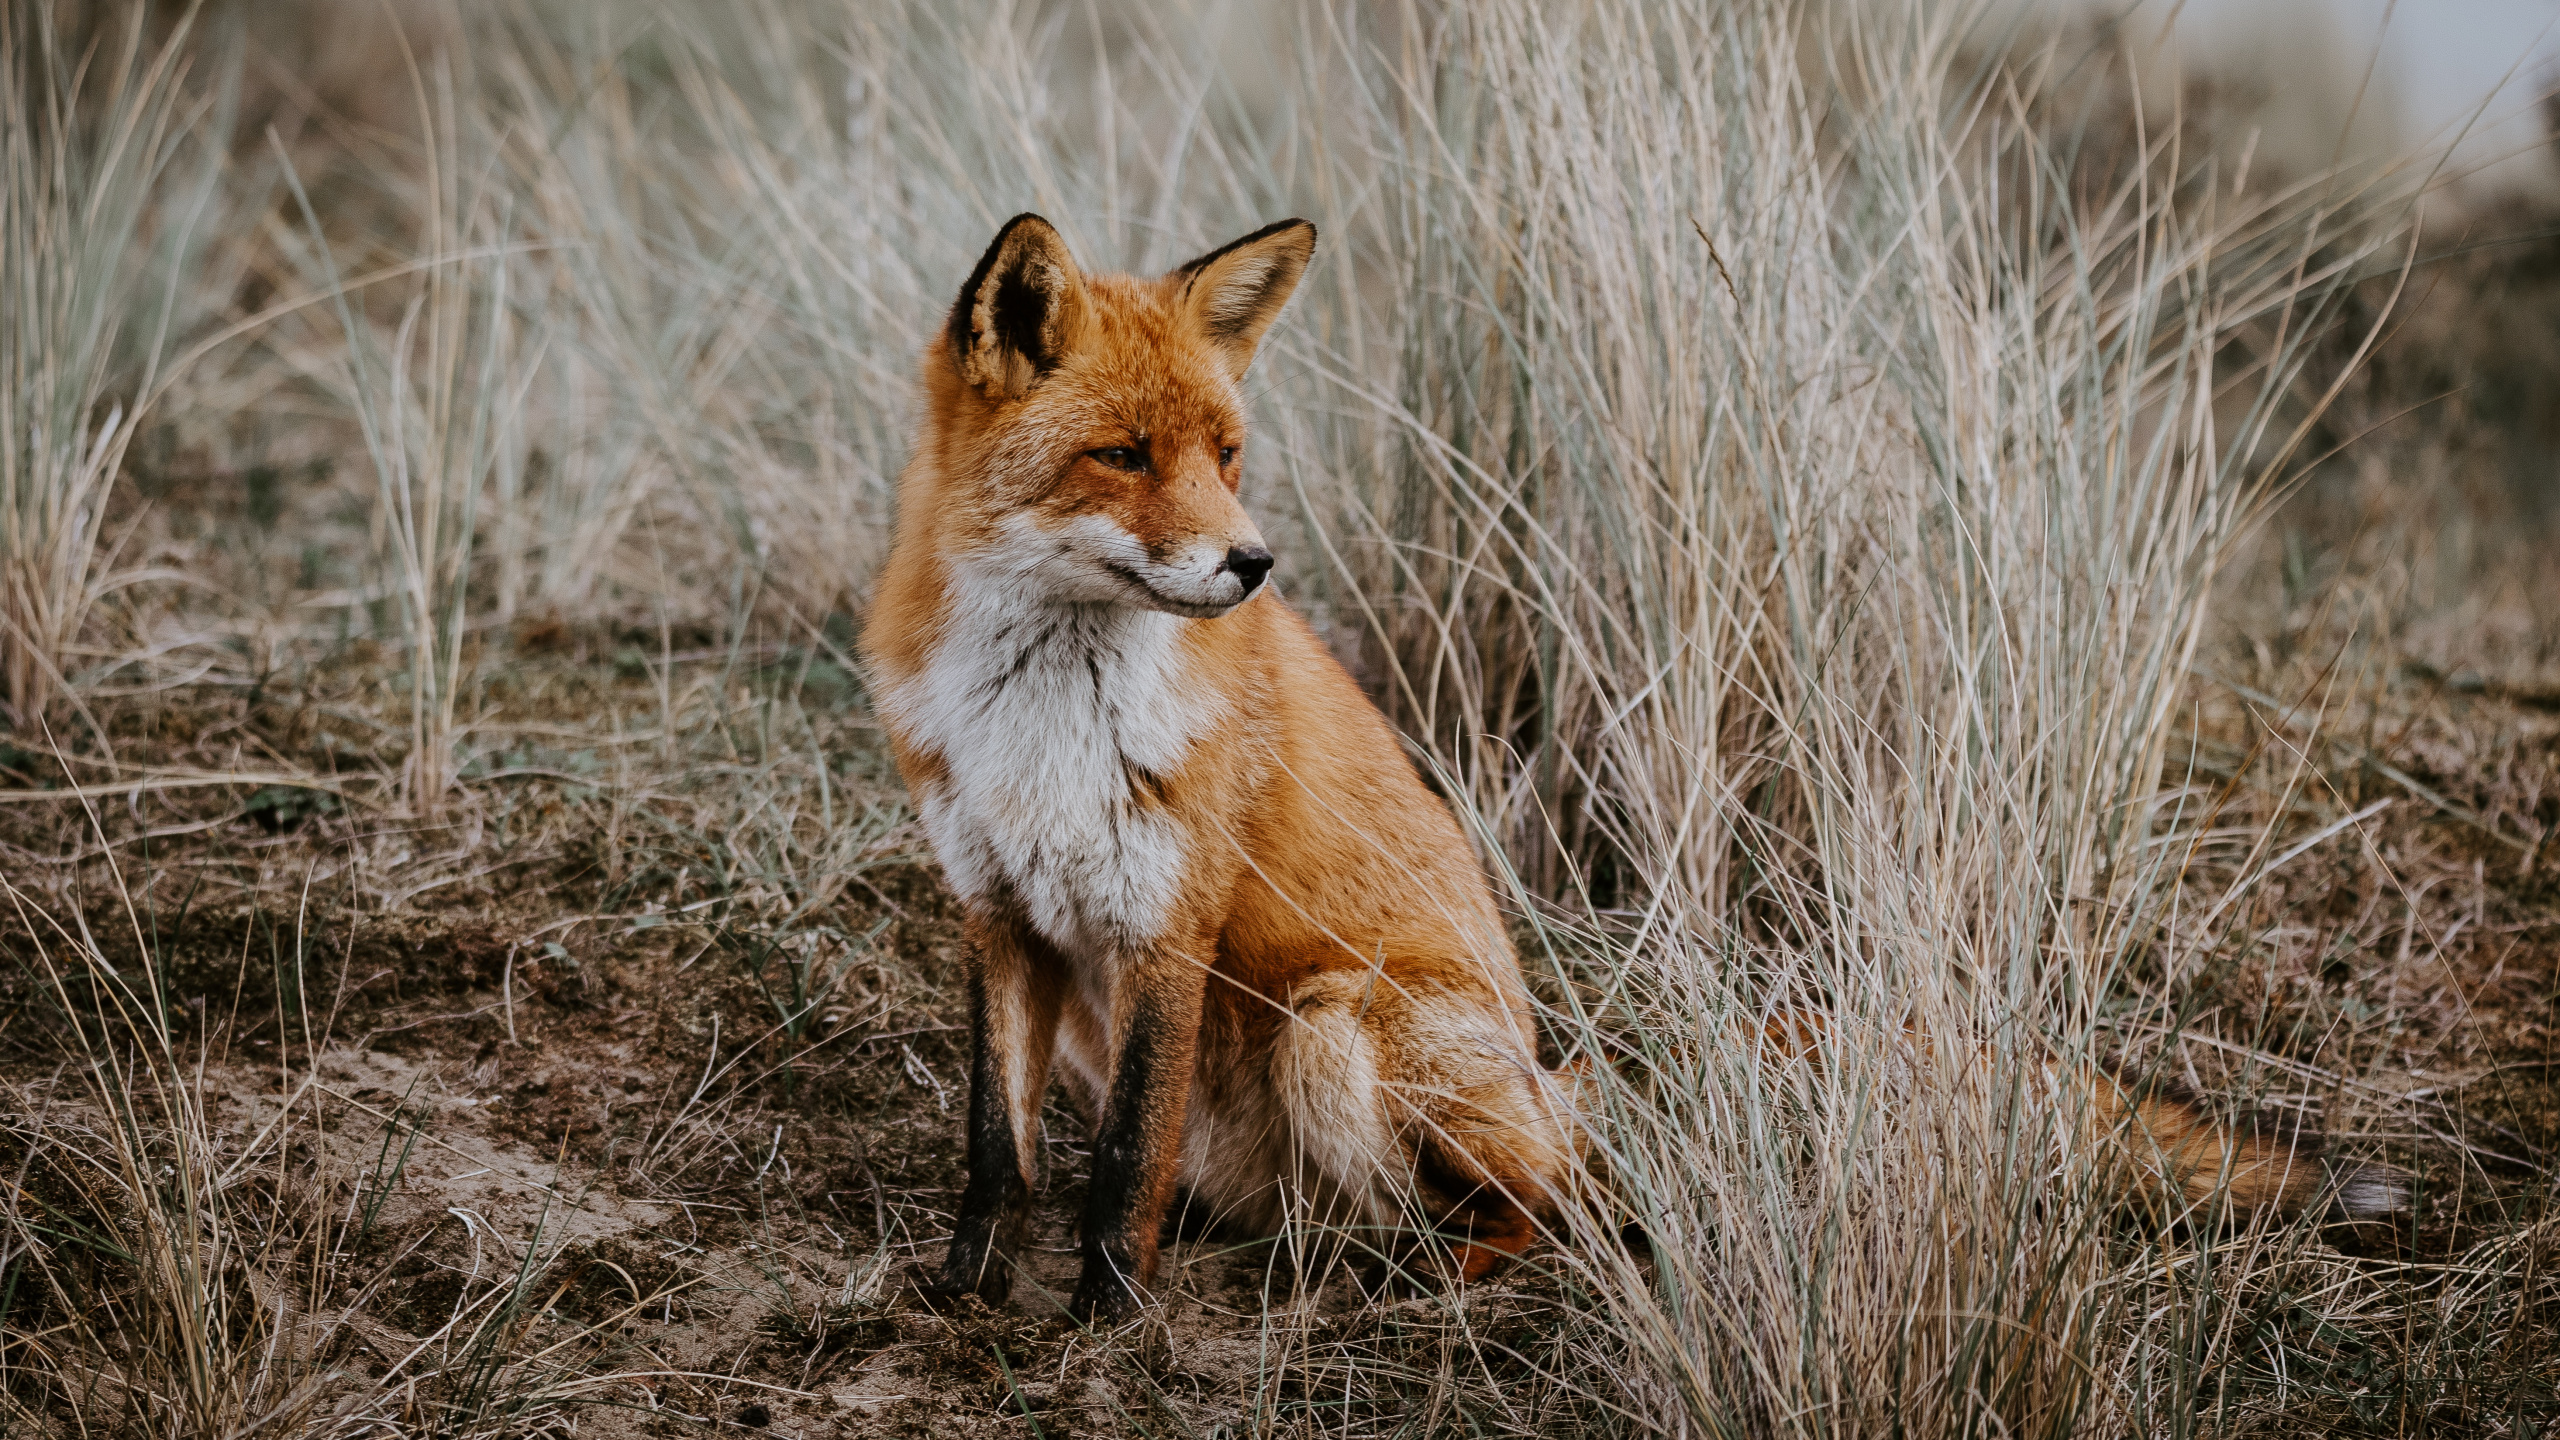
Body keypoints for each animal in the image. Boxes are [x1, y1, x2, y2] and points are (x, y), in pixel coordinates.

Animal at [860, 215, 2396, 1322]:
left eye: (1226, 454)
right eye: (1122, 455)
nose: (1252, 565)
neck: (1042, 713)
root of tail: (1558, 1073)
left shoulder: (1165, 925)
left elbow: (1123, 1159)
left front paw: (1105, 1321)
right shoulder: (999, 913)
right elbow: (1000, 1153)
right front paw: (963, 1297)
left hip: (1339, 1023)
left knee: (1563, 1211)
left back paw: (1414, 1287)